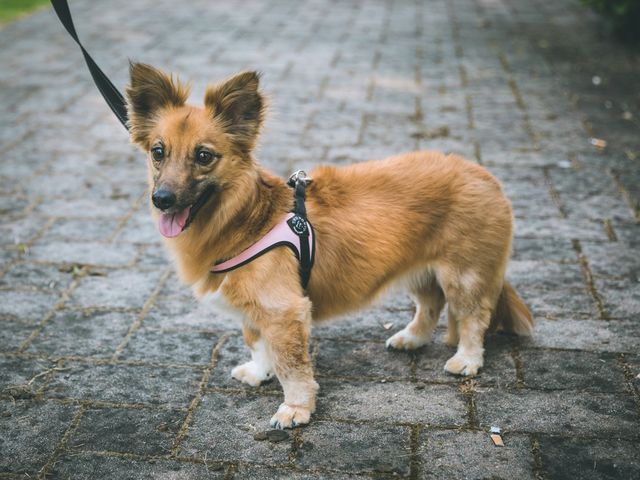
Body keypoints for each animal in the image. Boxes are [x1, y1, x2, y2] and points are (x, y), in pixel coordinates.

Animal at [122, 62, 532, 428]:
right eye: (158, 152)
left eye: (204, 156)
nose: (162, 199)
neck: (247, 218)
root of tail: (483, 174)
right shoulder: (257, 313)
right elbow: (258, 342)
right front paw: (259, 371)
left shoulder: (285, 311)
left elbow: (292, 367)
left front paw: (296, 409)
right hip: (417, 268)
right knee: (430, 304)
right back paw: (412, 338)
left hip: (463, 276)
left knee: (473, 317)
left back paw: (467, 359)